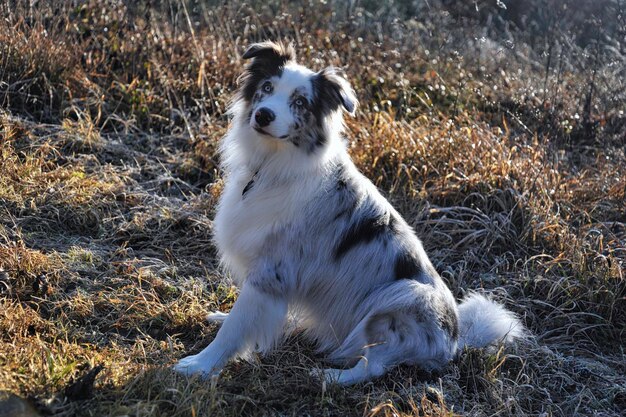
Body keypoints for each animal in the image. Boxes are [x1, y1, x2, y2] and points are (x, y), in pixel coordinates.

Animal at [172, 41, 520, 384]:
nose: (263, 115)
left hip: (403, 295)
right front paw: (222, 320)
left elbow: (237, 327)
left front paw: (200, 365)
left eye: (300, 102)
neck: (273, 164)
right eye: (267, 87)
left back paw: (328, 376)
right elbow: (242, 317)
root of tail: (455, 341)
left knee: (373, 365)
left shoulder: (271, 271)